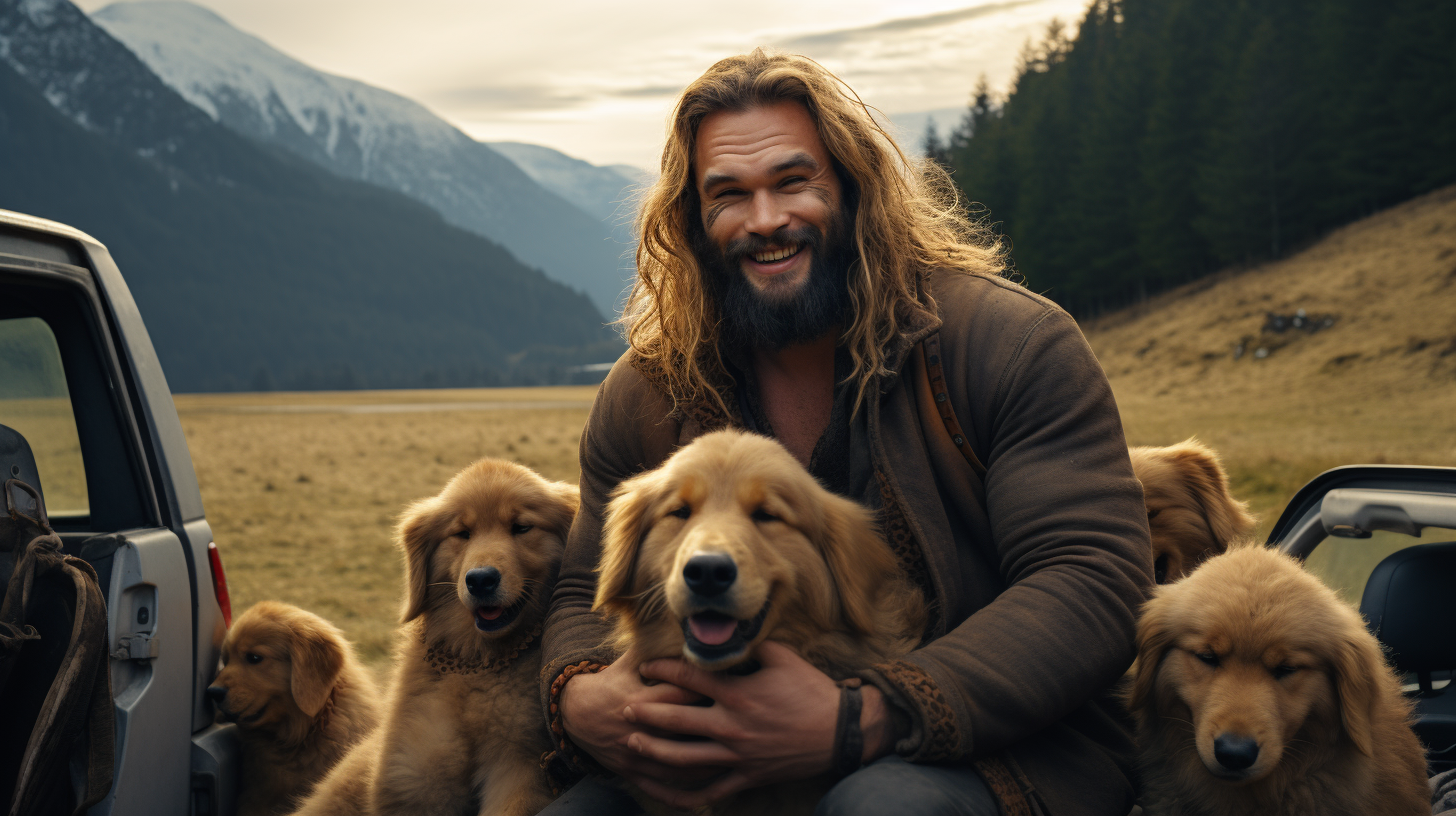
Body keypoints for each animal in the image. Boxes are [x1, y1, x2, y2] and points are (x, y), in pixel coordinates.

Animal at [289, 460, 573, 816]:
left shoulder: (520, 769)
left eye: (521, 527)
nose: (480, 580)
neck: (477, 663)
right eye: (462, 533)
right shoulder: (417, 772)